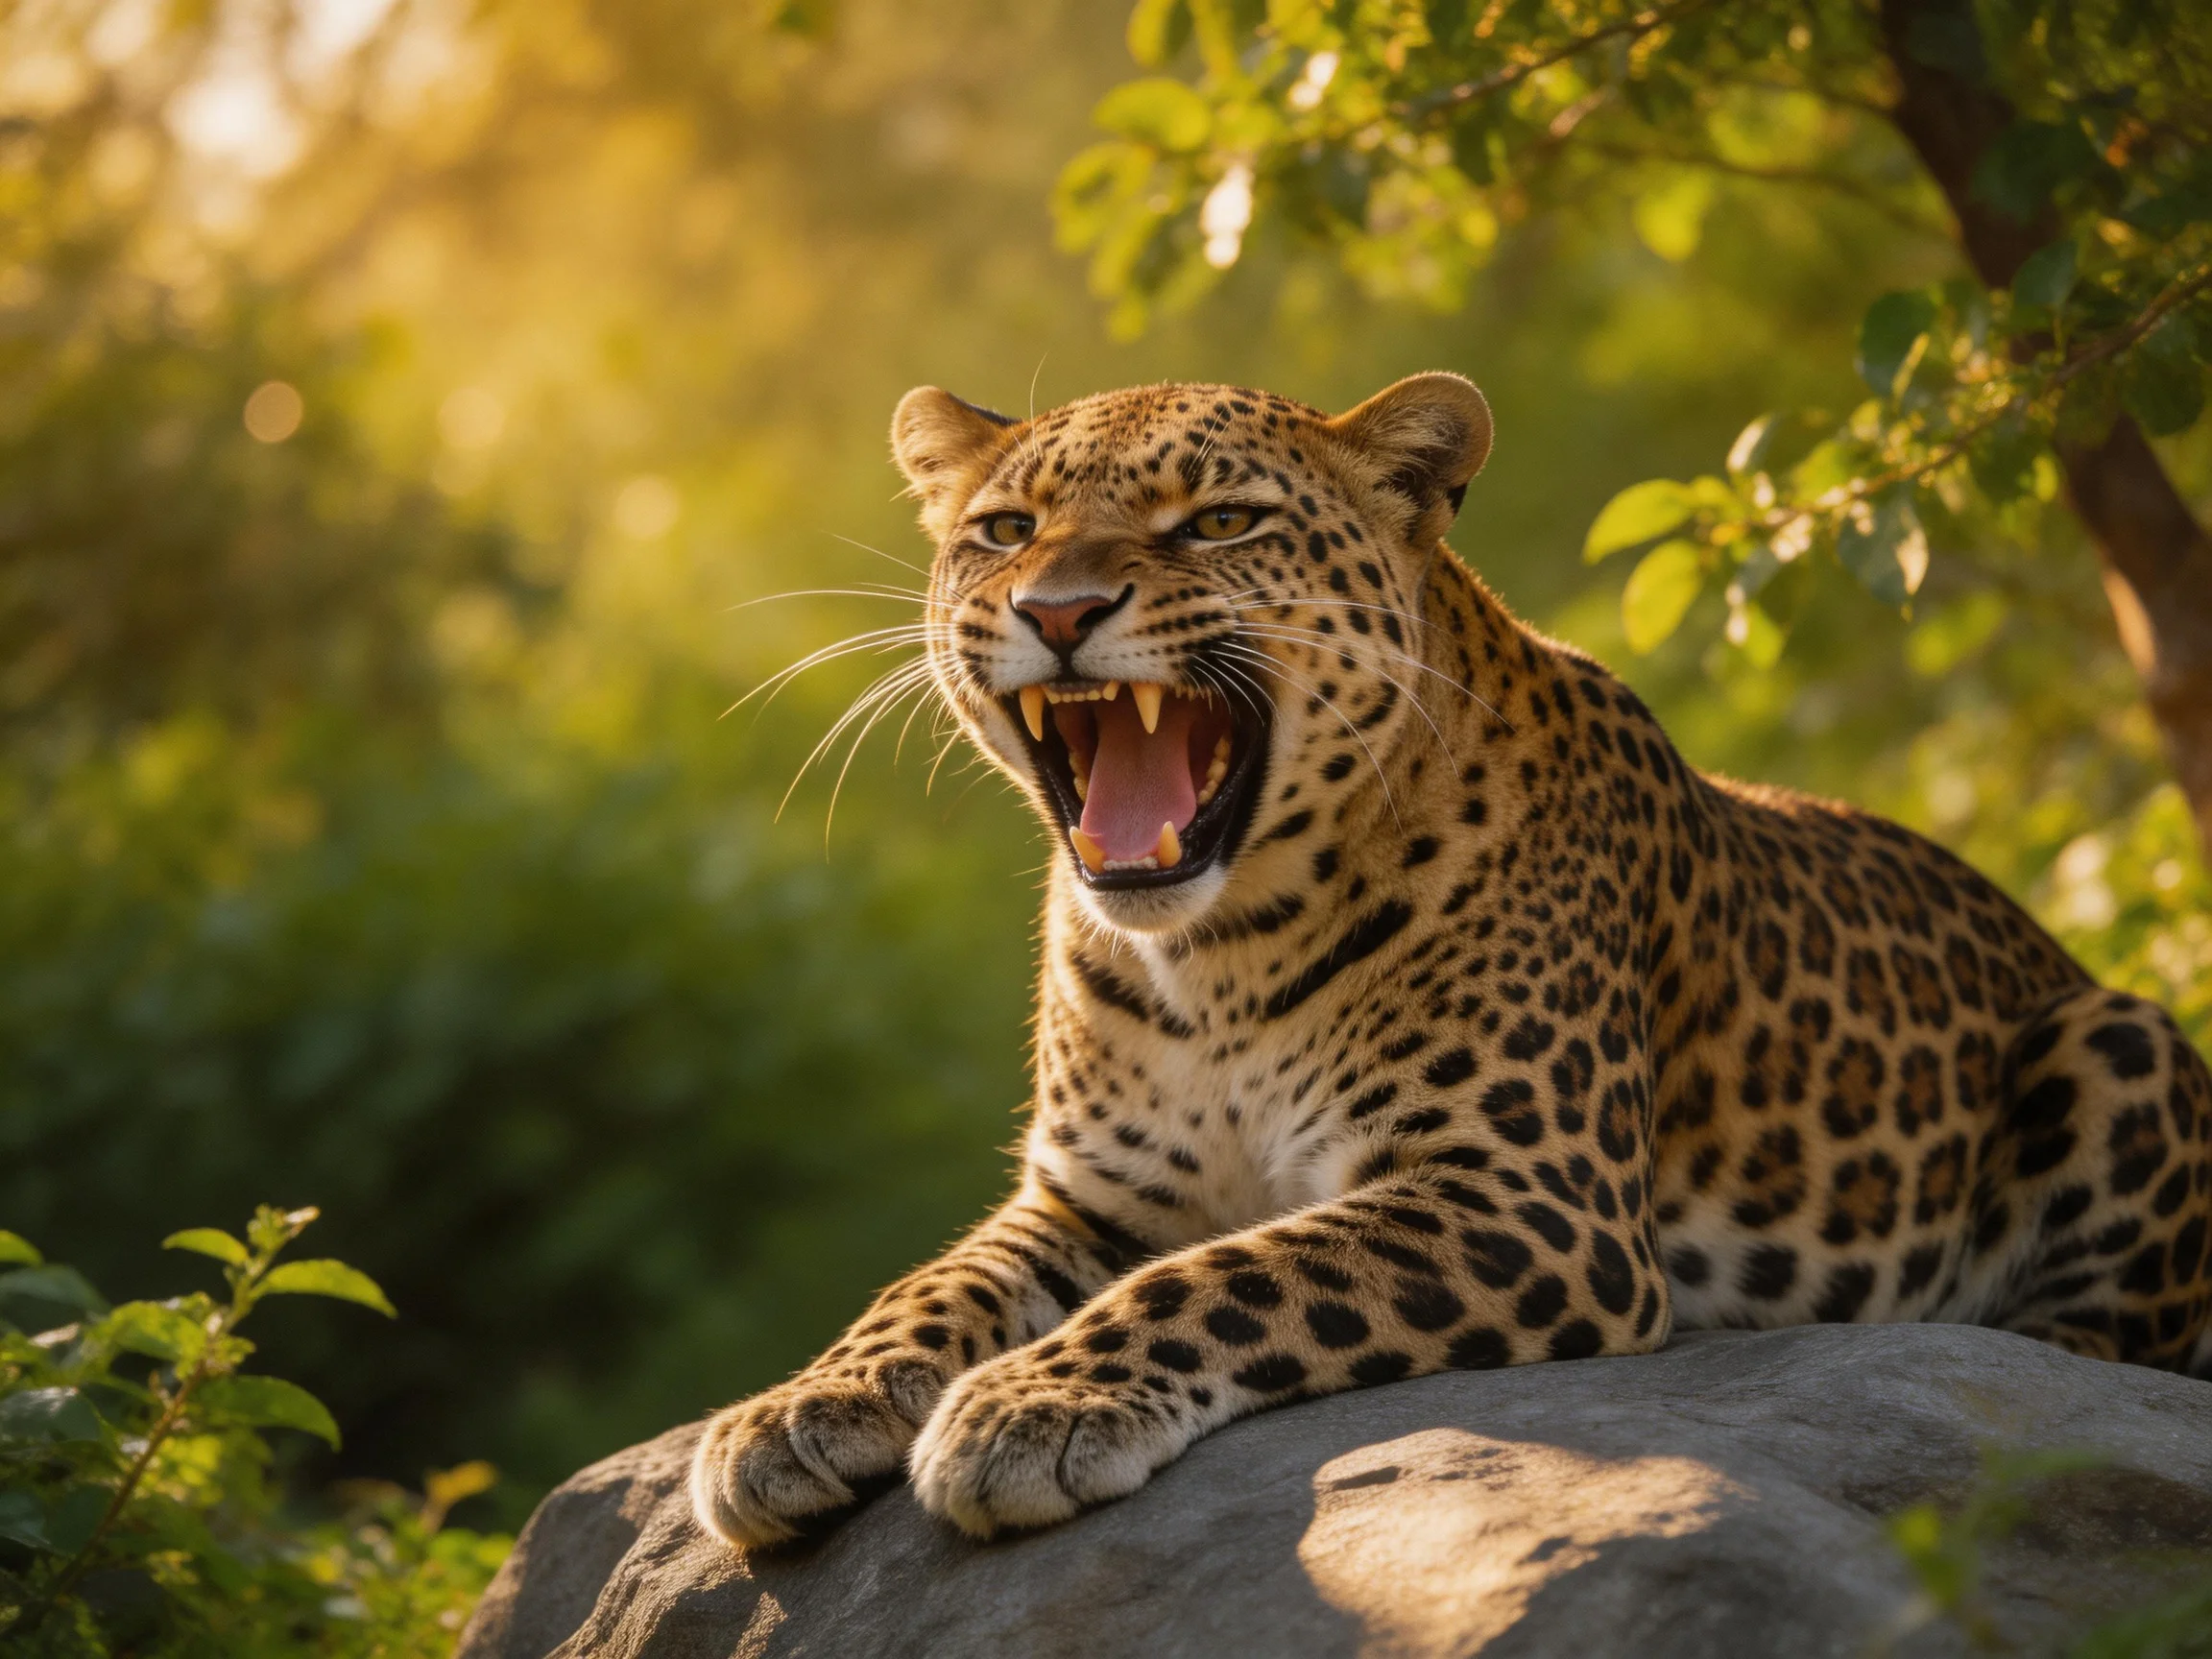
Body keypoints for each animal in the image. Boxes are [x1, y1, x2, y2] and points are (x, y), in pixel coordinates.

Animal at [691, 371, 2212, 1547]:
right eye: (1005, 531)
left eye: (1219, 522)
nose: (1058, 609)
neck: (1215, 962)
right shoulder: (1091, 1197)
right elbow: (929, 1285)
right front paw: (790, 1412)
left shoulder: (1527, 1195)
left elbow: (1230, 1275)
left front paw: (1029, 1409)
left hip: (2119, 1037)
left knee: (2096, 1362)